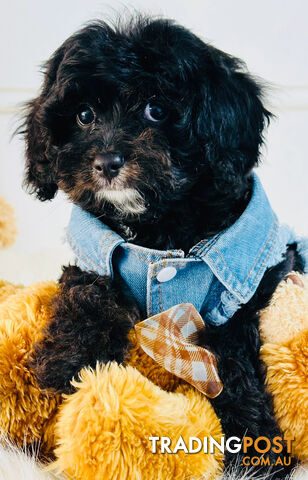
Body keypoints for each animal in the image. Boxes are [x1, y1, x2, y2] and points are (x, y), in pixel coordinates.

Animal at [19, 15, 304, 476]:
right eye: (84, 115)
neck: (158, 229)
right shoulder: (93, 256)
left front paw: (256, 446)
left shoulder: (254, 281)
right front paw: (63, 362)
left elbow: (233, 350)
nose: (107, 163)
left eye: (156, 110)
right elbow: (88, 293)